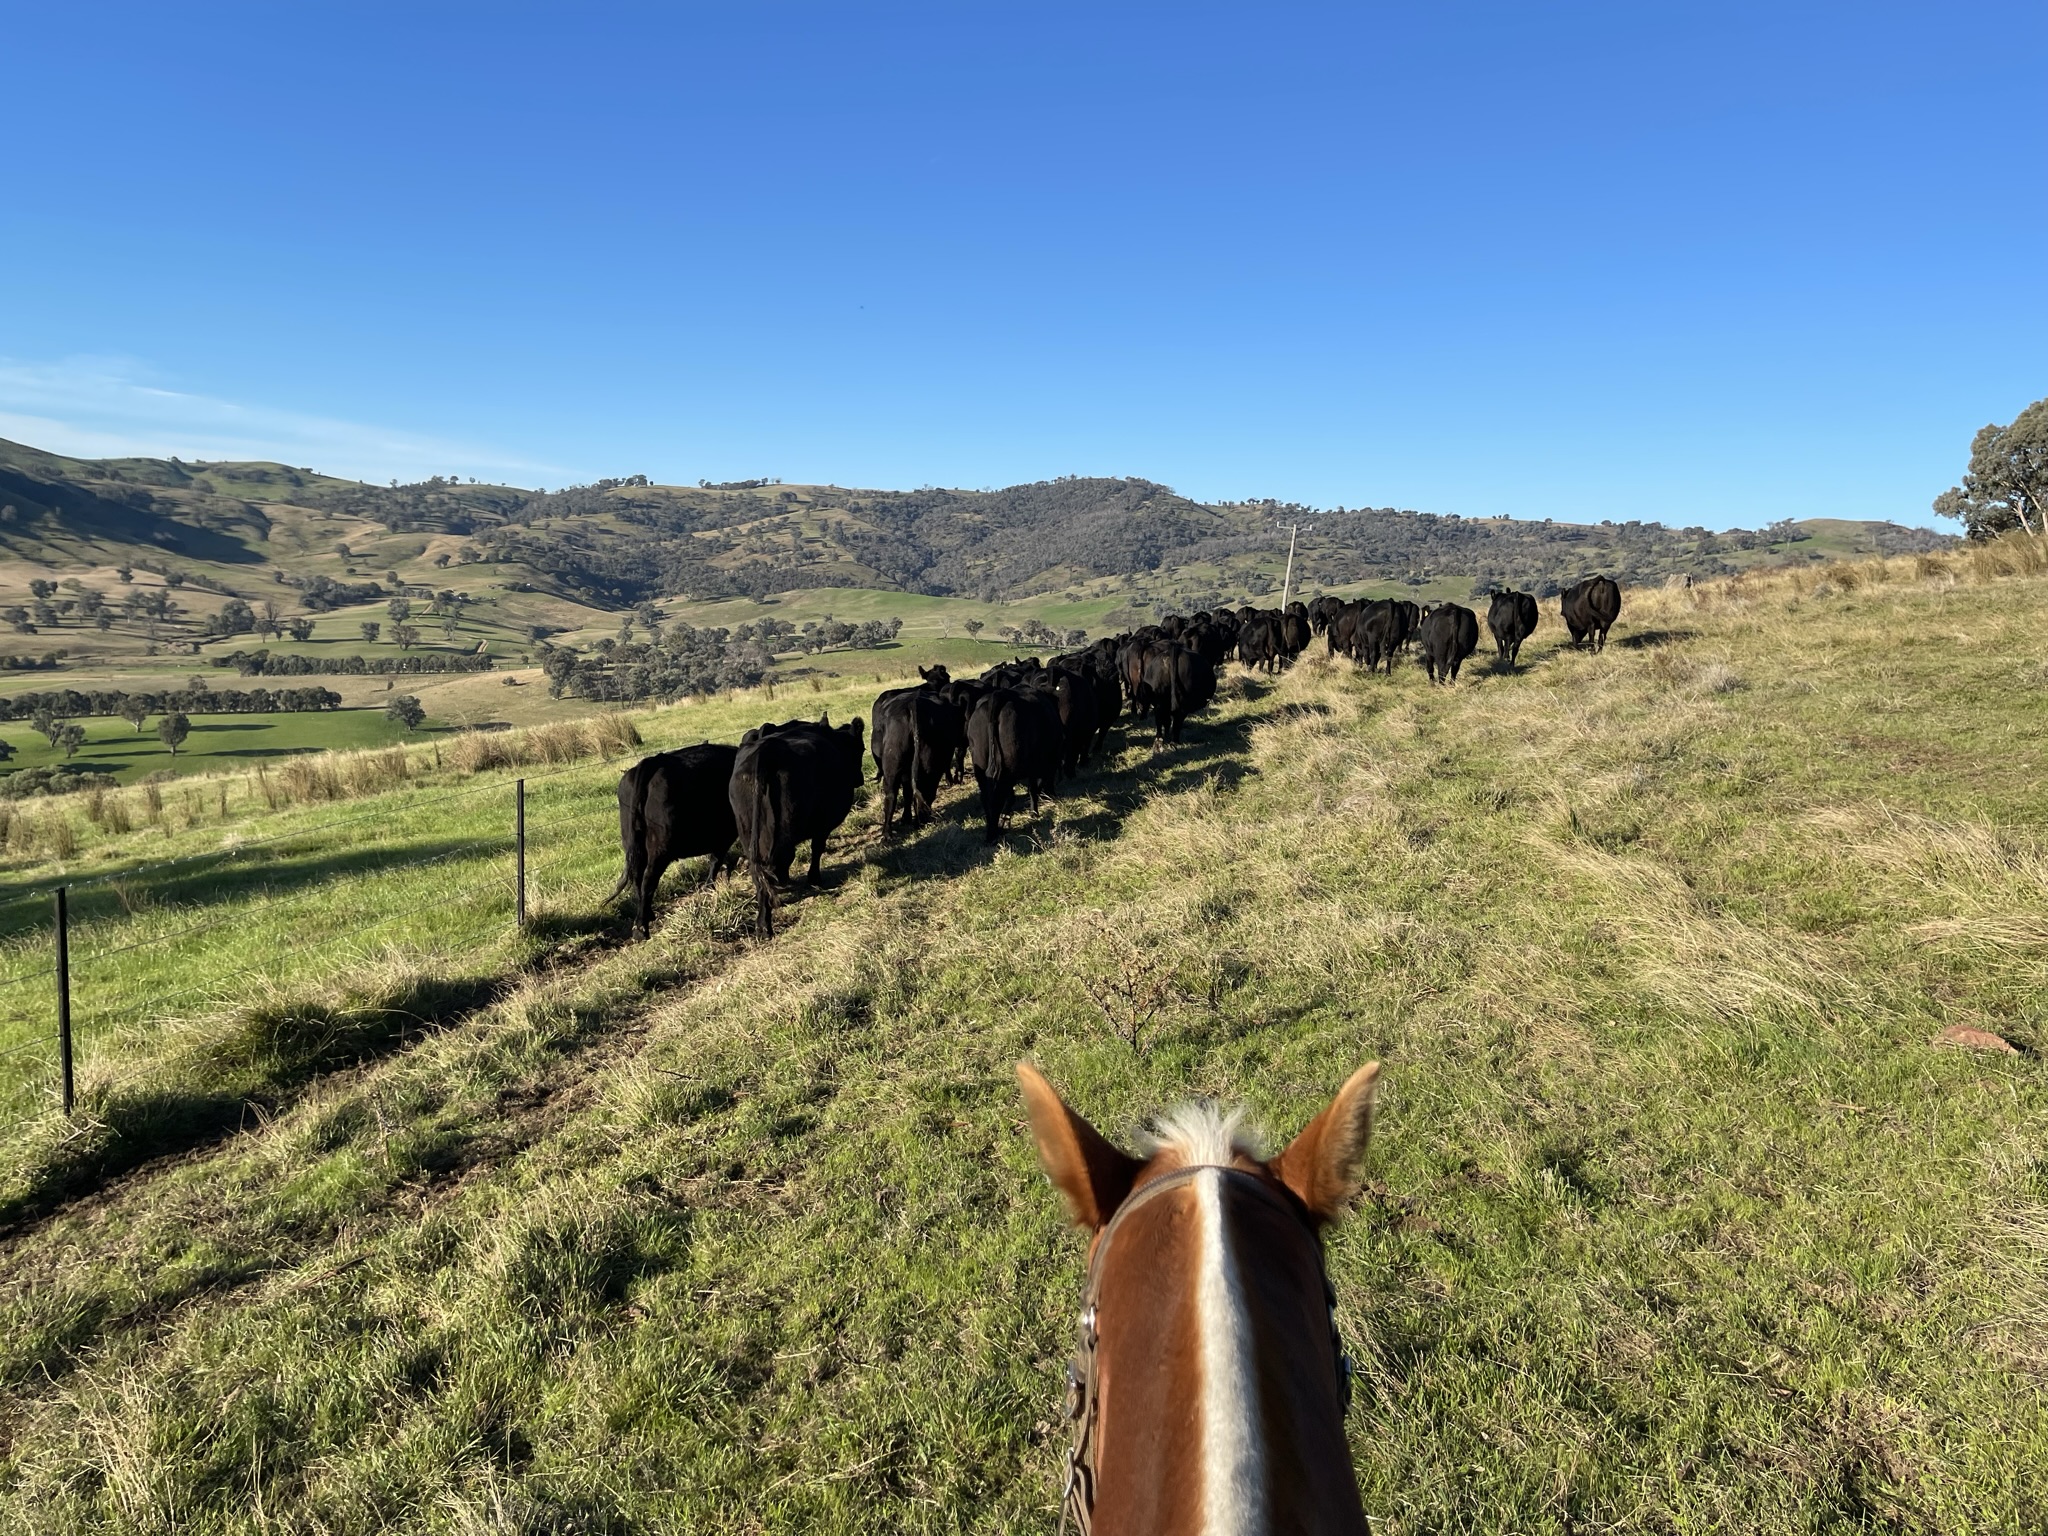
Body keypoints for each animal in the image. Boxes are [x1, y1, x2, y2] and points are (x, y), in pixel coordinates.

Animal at [611, 743, 740, 939]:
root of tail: (654, 761)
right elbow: (716, 860)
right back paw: (641, 929)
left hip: (633, 844)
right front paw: (711, 888)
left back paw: (647, 915)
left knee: (637, 878)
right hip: (660, 849)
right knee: (648, 880)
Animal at [729, 714, 868, 937]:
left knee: (759, 873)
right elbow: (817, 848)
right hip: (782, 834)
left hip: (747, 832)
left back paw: (762, 923)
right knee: (776, 865)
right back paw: (766, 924)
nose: (860, 779)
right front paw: (814, 879)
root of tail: (767, 751)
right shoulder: (823, 825)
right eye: (861, 748)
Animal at [966, 685, 1063, 843]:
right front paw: (1034, 812)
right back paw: (993, 835)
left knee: (987, 798)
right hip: (1009, 767)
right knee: (997, 798)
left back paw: (993, 831)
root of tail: (999, 695)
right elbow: (1034, 788)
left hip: (982, 767)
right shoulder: (1042, 764)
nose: (1054, 796)